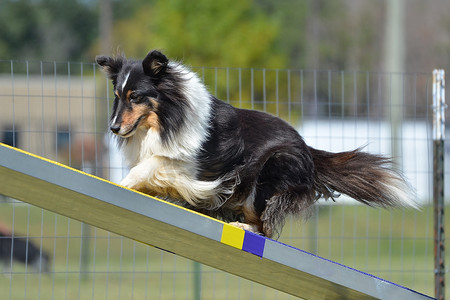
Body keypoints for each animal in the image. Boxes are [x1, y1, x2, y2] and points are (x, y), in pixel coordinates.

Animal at [96, 50, 416, 238]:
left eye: (136, 96)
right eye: (118, 95)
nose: (114, 128)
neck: (166, 118)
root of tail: (306, 148)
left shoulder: (191, 169)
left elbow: (149, 166)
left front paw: (122, 184)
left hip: (269, 173)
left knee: (265, 227)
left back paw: (243, 225)